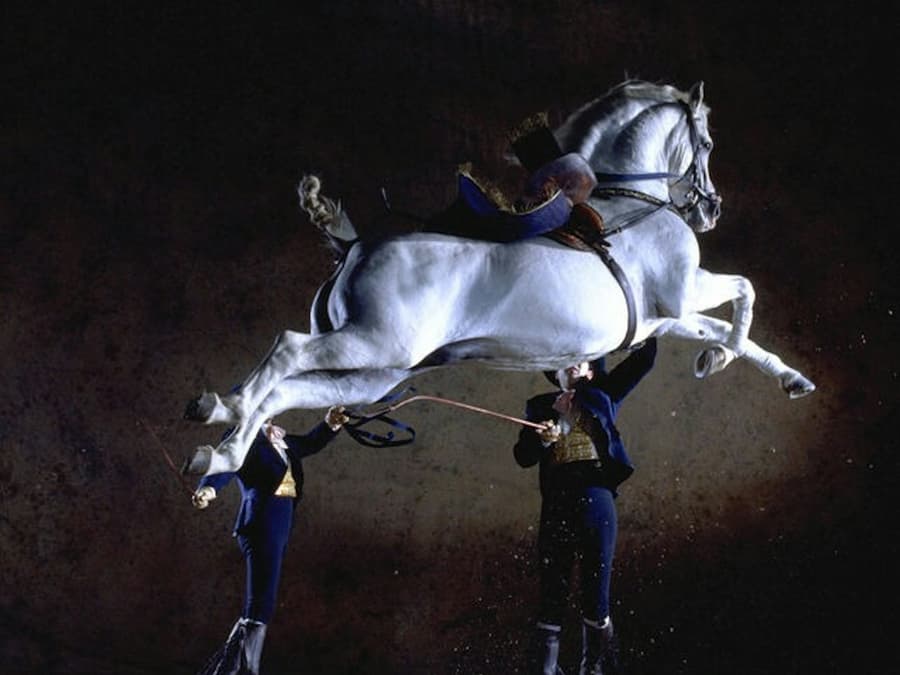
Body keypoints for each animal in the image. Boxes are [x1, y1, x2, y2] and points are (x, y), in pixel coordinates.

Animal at [183, 80, 815, 476]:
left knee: (287, 391)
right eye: (705, 142)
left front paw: (780, 375)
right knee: (286, 352)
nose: (711, 210)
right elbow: (744, 292)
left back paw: (219, 452)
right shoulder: (685, 292)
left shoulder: (662, 318)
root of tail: (353, 245)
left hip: (374, 375)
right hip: (373, 344)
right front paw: (719, 358)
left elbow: (728, 328)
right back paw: (223, 409)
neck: (628, 201)